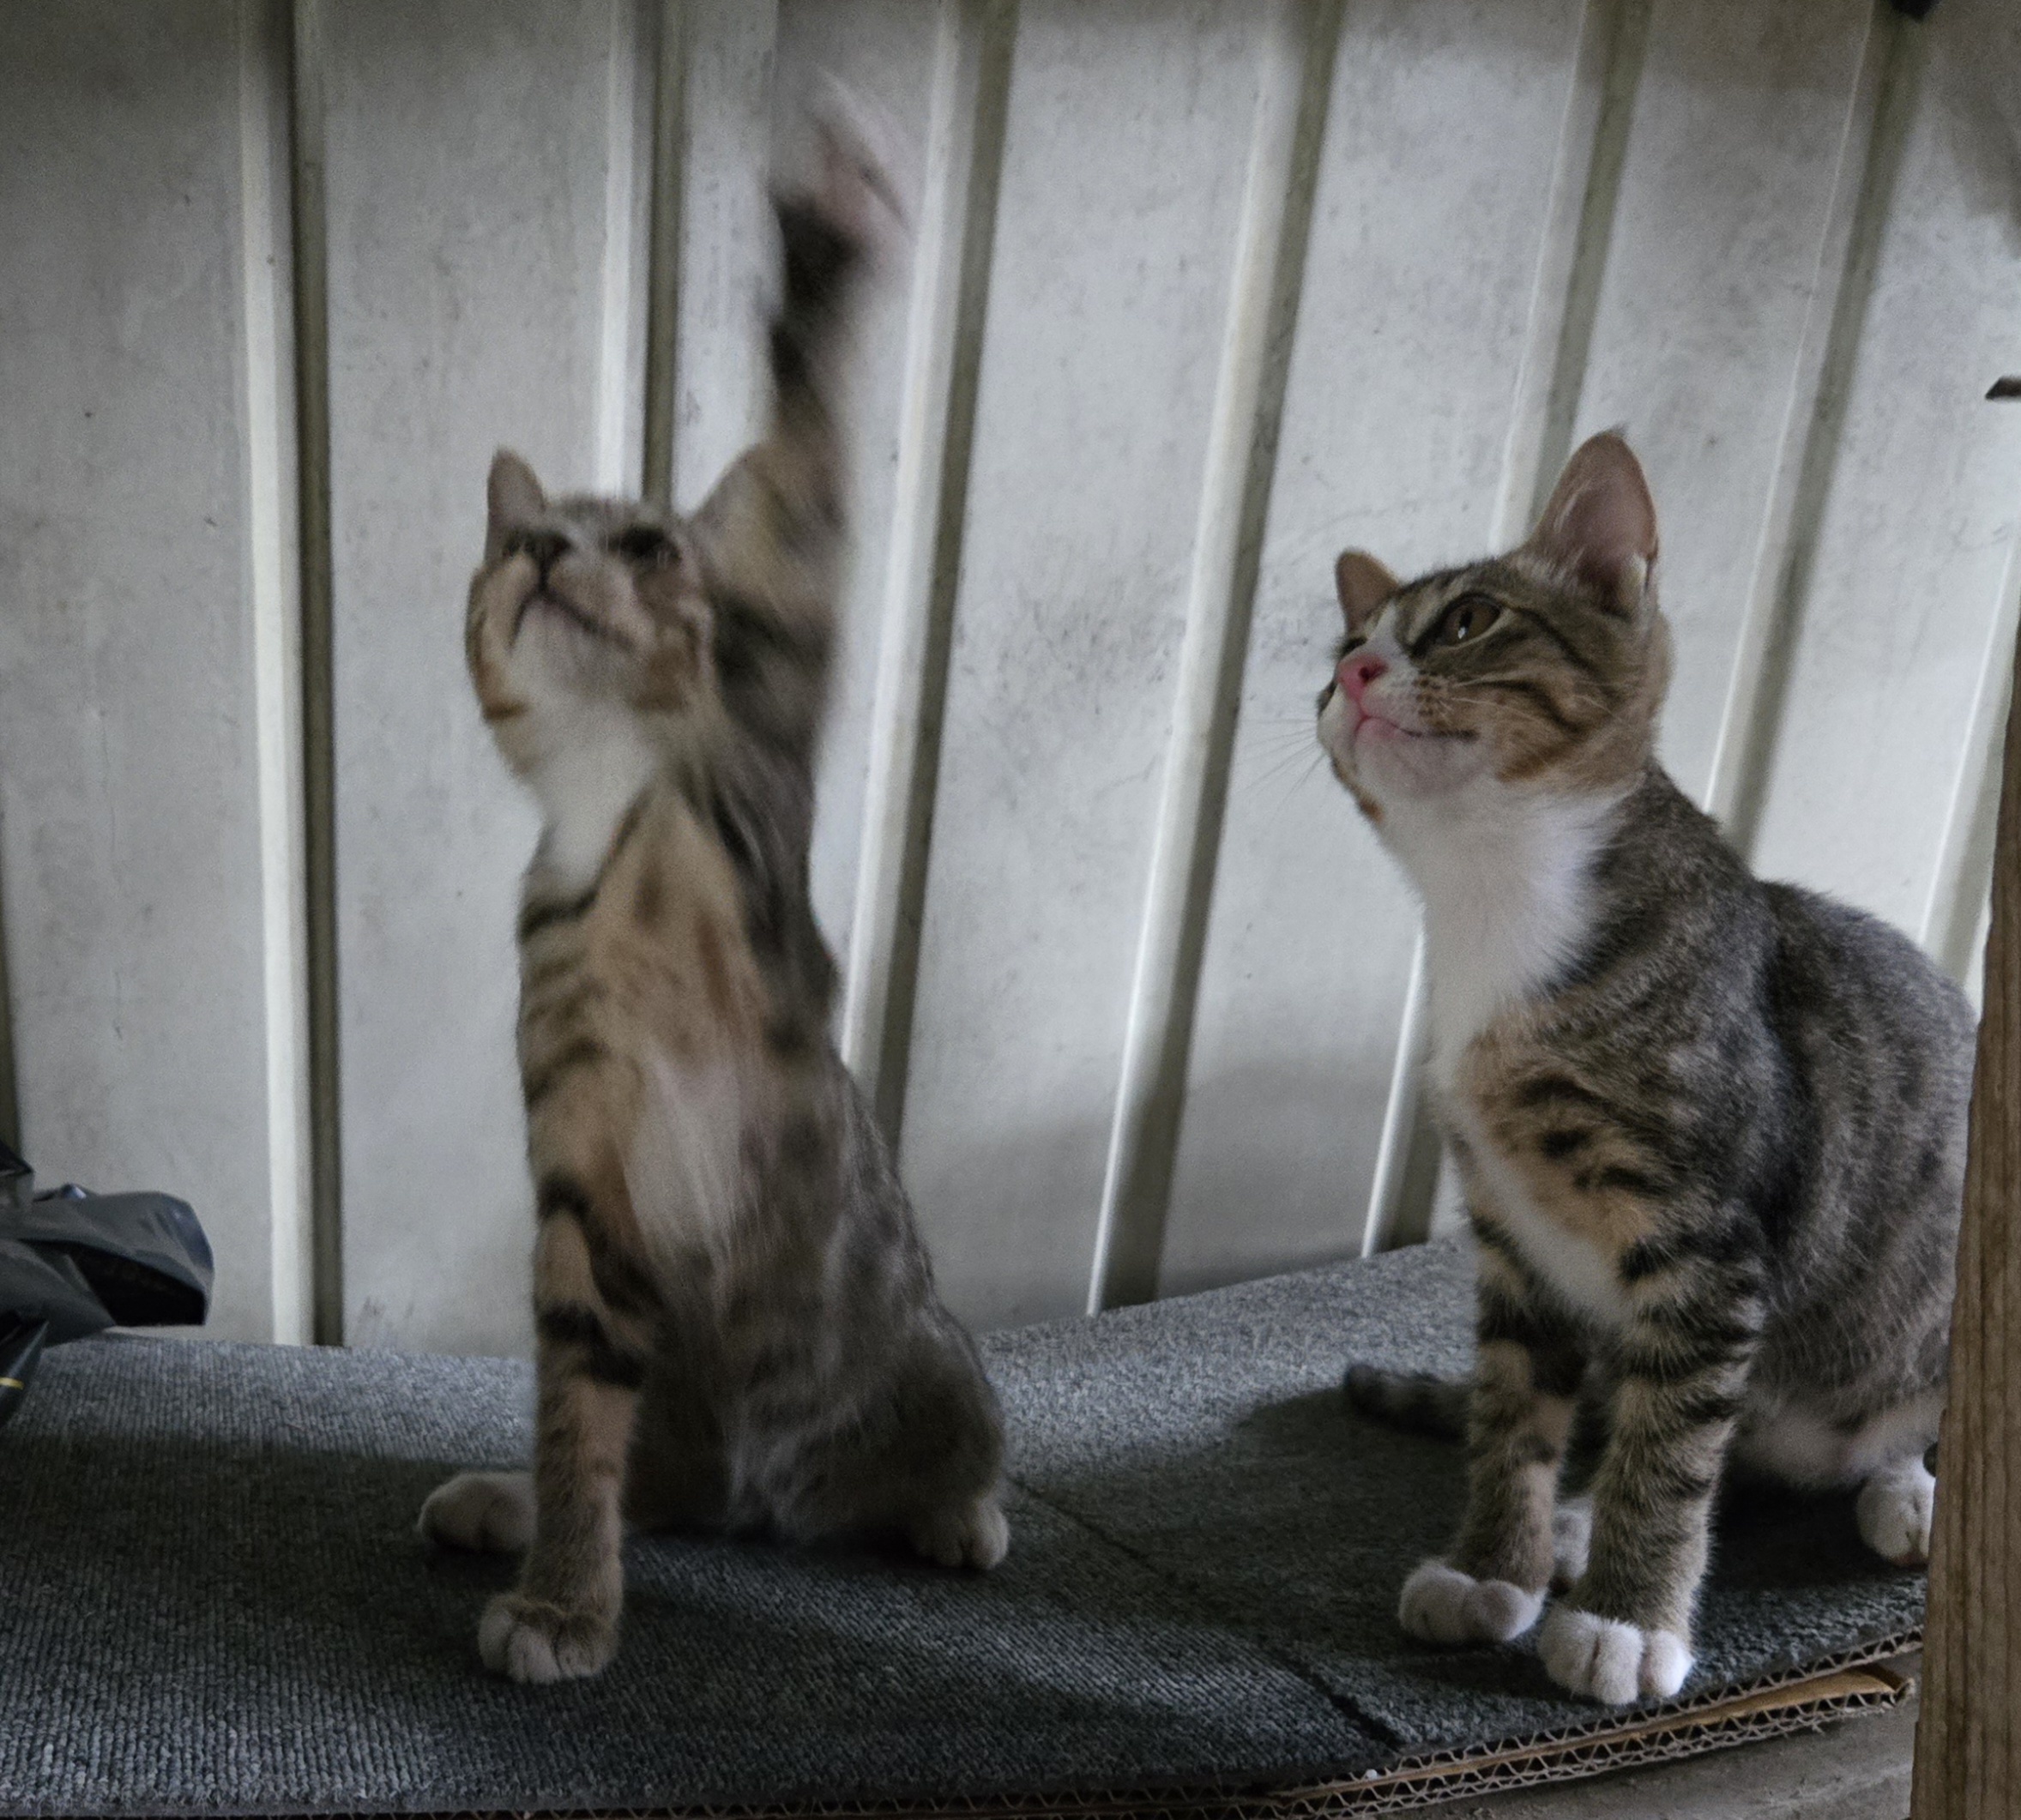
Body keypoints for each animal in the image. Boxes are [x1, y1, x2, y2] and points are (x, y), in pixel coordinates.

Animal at [418, 120, 1007, 1684]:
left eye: (645, 546)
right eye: (515, 541)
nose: (541, 554)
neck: (611, 815)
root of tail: (771, 1500)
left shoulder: (759, 755)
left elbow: (803, 497)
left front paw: (827, 250)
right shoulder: (582, 1192)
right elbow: (575, 1420)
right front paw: (569, 1581)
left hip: (941, 1366)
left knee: (963, 1446)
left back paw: (957, 1511)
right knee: (656, 1479)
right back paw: (512, 1497)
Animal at [1318, 431, 1970, 1706]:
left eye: (1466, 621)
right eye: (1340, 649)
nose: (1357, 674)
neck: (1496, 904)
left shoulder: (1705, 1242)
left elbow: (1671, 1449)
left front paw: (1627, 1618)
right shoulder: (1516, 1236)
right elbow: (1515, 1412)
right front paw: (1498, 1566)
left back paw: (1907, 1488)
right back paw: (1578, 1520)